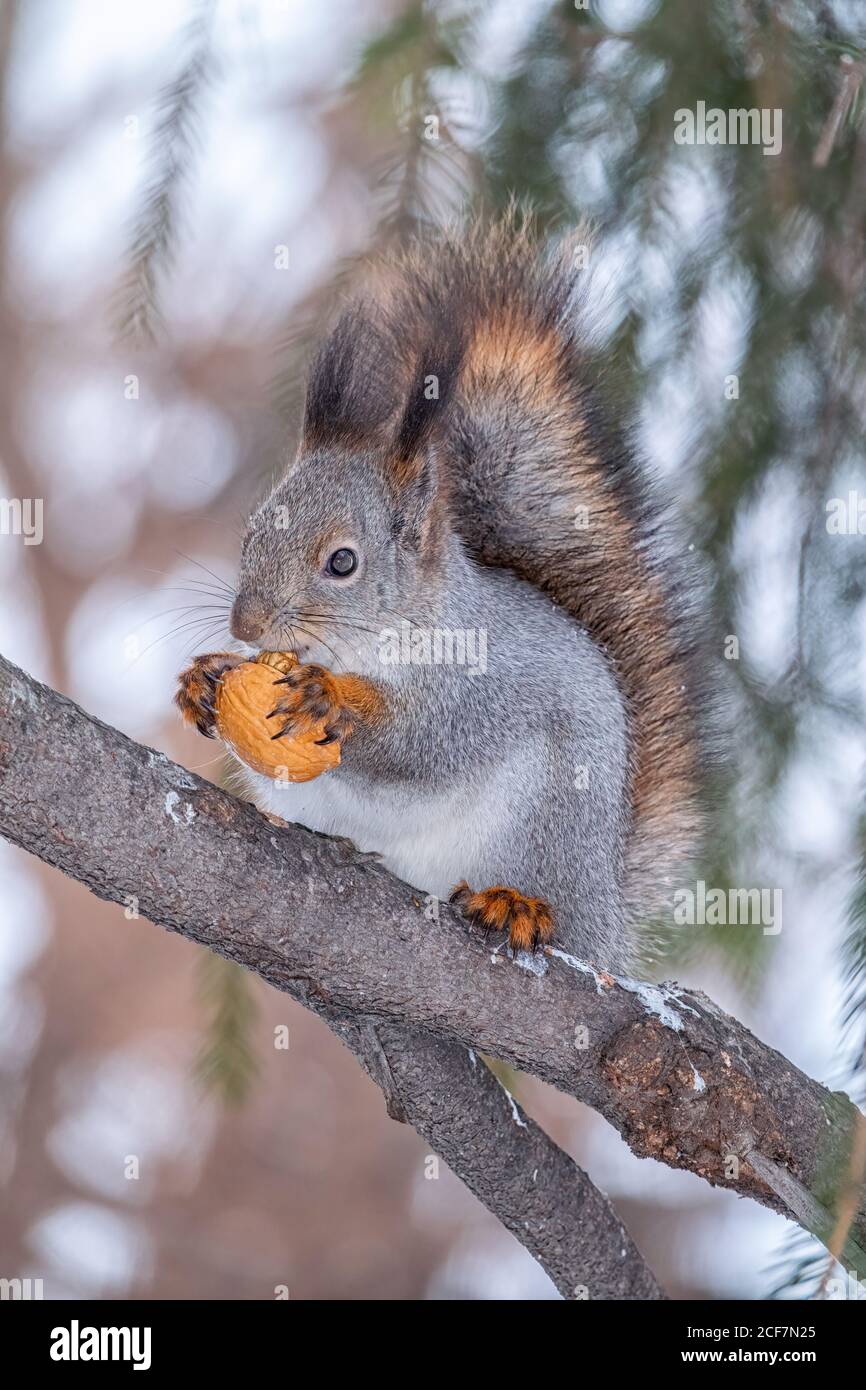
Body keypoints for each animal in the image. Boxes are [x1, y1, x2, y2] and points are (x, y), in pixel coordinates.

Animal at [176, 216, 707, 970]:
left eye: (343, 562)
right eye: (251, 531)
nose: (246, 626)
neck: (370, 642)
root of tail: (608, 918)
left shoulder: (480, 684)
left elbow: (428, 741)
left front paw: (329, 699)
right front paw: (205, 679)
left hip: (546, 827)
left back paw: (517, 905)